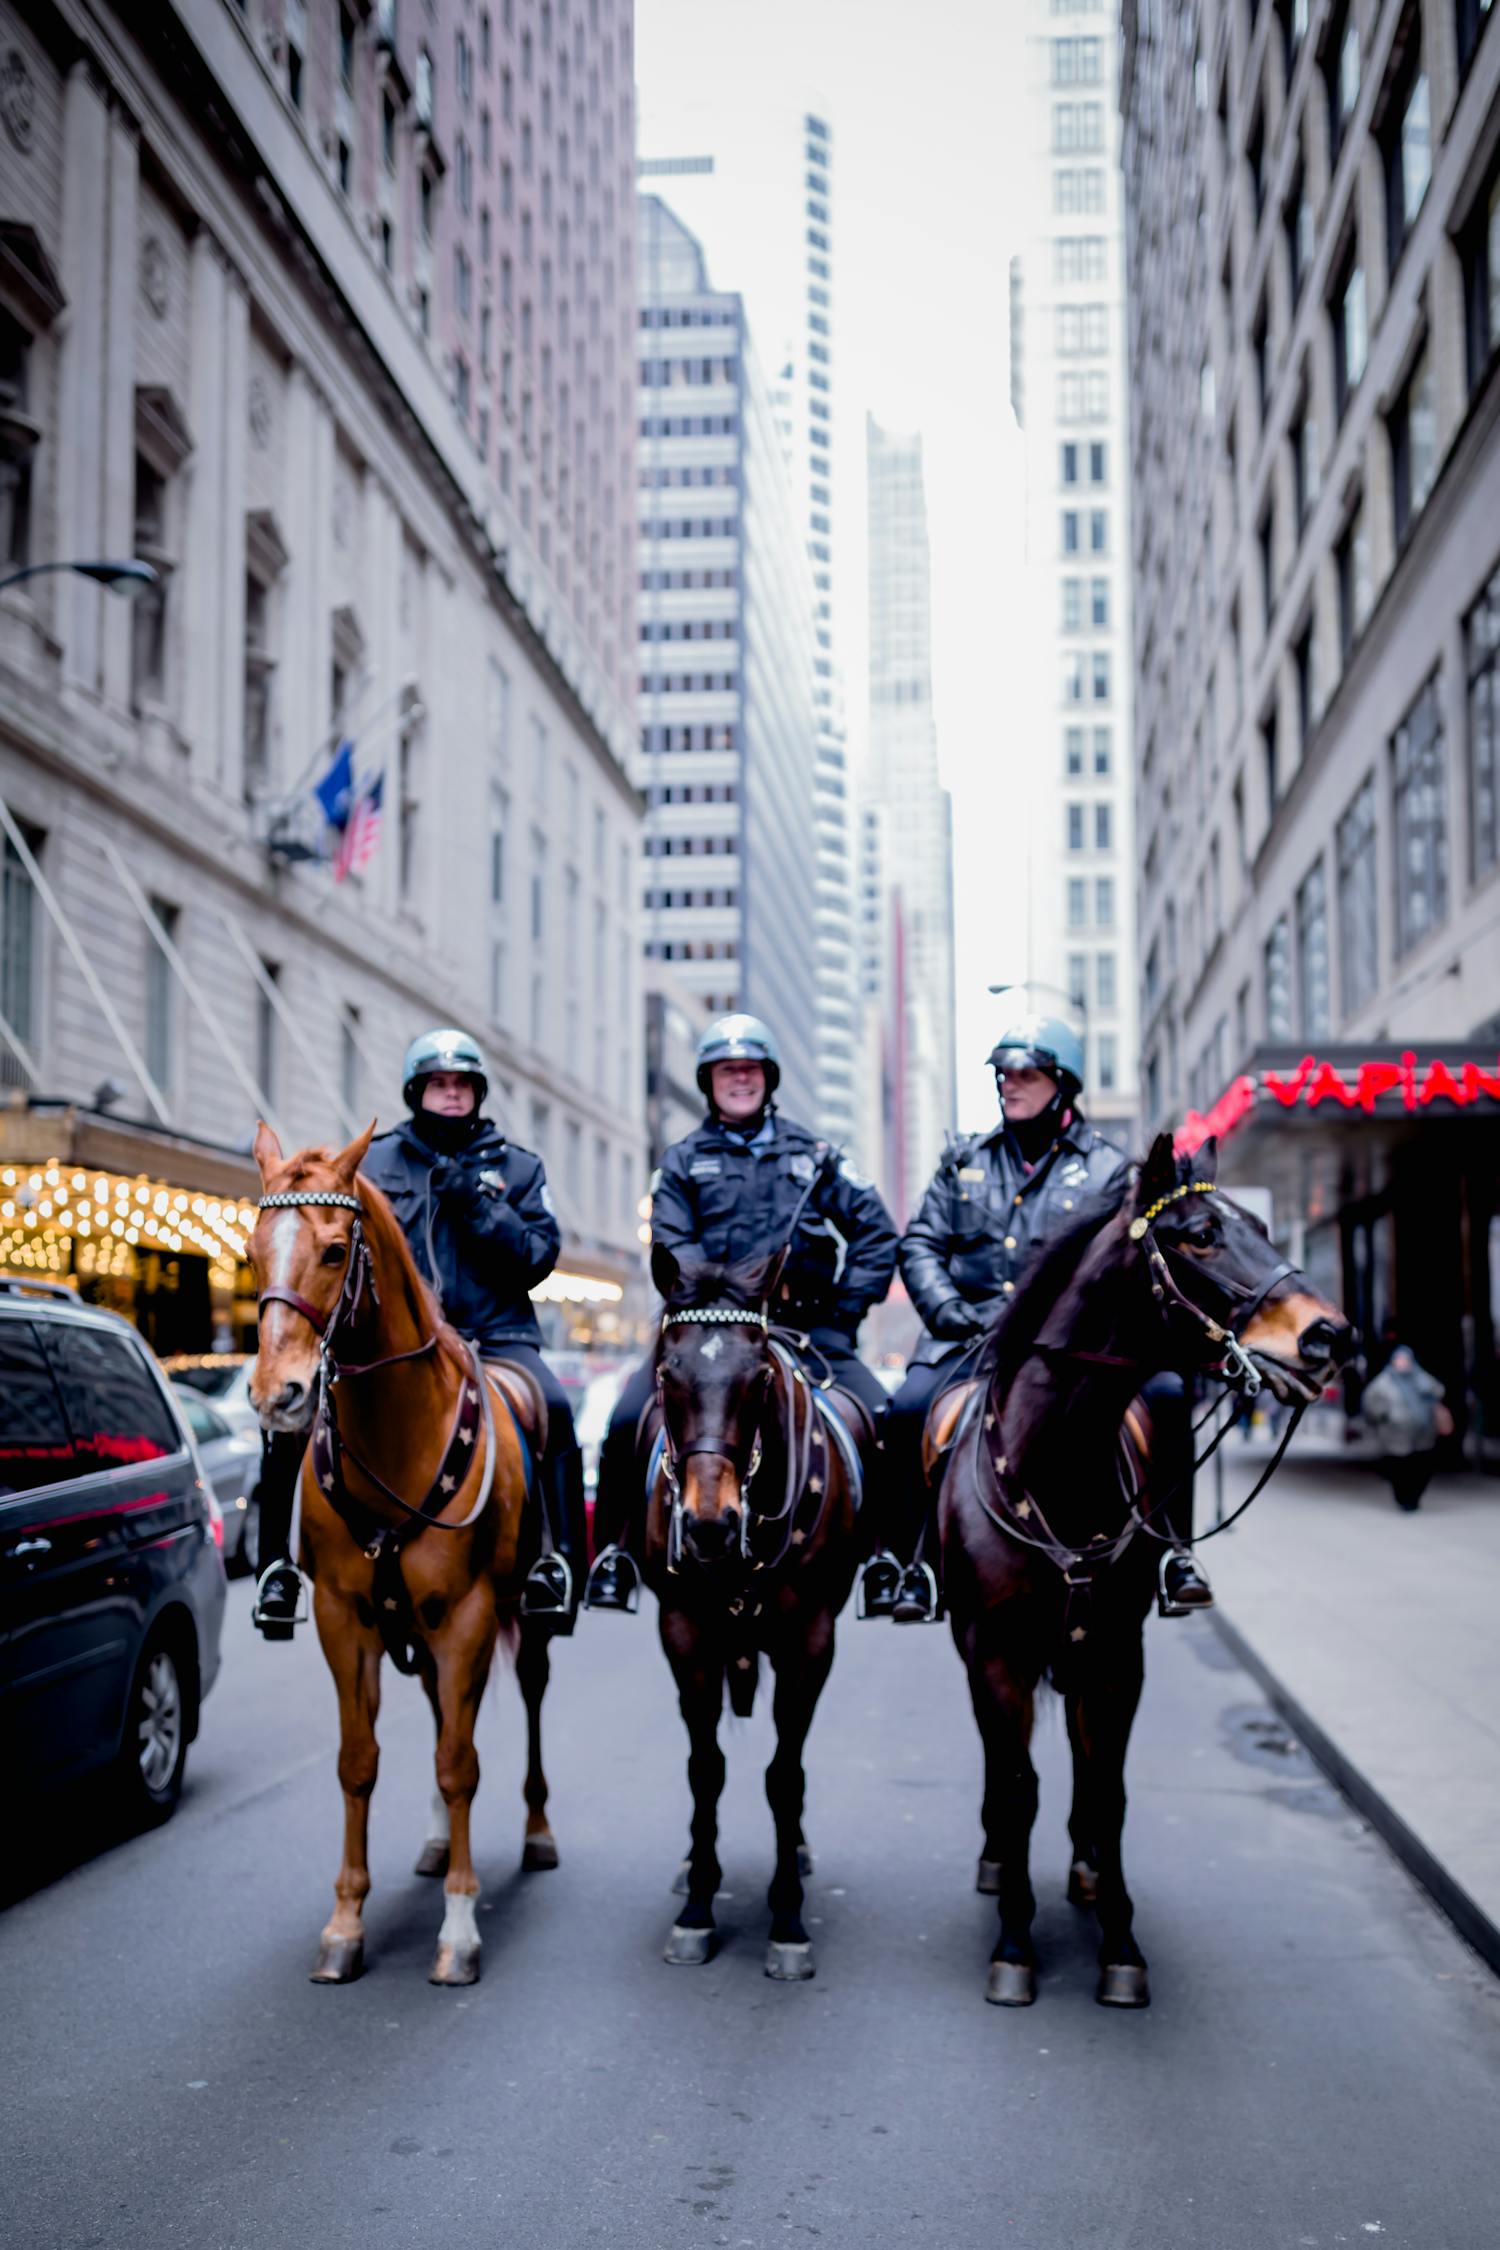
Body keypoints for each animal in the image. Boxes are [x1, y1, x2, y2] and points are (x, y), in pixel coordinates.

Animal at [249, 1125, 559, 1989]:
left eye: (333, 1250)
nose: (277, 1395)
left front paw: (459, 1927)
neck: (395, 1436)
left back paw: (537, 1830)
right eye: (251, 1249)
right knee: (436, 1710)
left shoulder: (470, 1616)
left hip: (520, 1618)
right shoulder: (344, 1619)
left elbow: (460, 1763)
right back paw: (433, 1841)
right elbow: (359, 1762)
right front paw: (346, 1923)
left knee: (528, 1698)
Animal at [638, 1260, 863, 1980]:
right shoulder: (683, 1633)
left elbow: (784, 1777)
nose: (710, 1524)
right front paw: (697, 1908)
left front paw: (787, 1919)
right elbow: (705, 1768)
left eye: (761, 1377)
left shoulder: (811, 1642)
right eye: (666, 1373)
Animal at [940, 1134, 1349, 2016]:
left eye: (1264, 1226)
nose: (1331, 1335)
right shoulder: (996, 1652)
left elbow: (1108, 1789)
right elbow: (1017, 1781)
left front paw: (1120, 1941)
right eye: (1199, 1236)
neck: (1056, 1464)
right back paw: (997, 1858)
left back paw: (1086, 1869)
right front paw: (1015, 1941)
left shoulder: (1117, 1655)